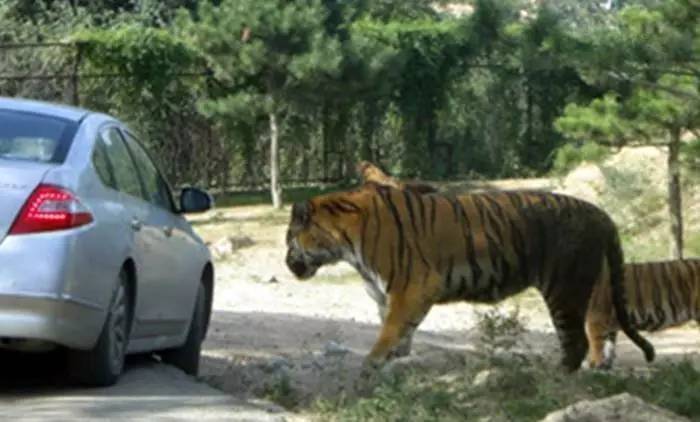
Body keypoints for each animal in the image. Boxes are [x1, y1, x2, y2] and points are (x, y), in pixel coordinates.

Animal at [282, 161, 652, 370]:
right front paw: (397, 364)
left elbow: (392, 329)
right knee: (599, 331)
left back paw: (556, 377)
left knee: (574, 343)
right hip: (591, 286)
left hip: (564, 287)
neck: (346, 244)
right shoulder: (387, 295)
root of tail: (600, 213)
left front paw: (373, 363)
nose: (286, 264)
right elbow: (402, 332)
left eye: (288, 240)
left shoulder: (412, 287)